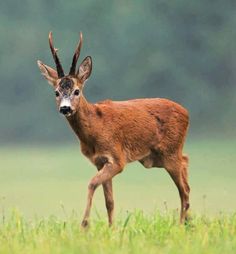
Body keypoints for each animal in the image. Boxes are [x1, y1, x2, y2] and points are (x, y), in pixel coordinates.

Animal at [37, 31, 191, 228]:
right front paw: (111, 229)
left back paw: (180, 225)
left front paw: (84, 225)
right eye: (56, 92)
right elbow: (109, 201)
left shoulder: (117, 158)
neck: (95, 128)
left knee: (184, 190)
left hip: (169, 152)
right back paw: (189, 222)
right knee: (186, 165)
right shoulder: (100, 161)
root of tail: (187, 113)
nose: (65, 108)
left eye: (77, 91)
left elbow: (91, 184)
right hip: (160, 156)